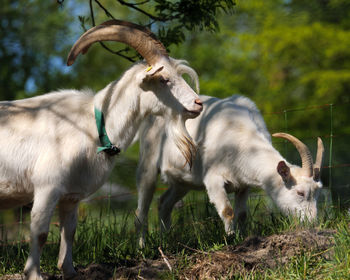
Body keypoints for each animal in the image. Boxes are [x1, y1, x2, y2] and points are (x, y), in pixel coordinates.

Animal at [0, 20, 202, 280]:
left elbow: (70, 232)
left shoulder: (71, 195)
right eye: (164, 79)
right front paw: (34, 274)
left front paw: (69, 271)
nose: (198, 104)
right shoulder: (47, 187)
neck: (91, 125)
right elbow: (41, 232)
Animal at [135, 95, 324, 246]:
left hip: (182, 182)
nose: (312, 223)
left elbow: (241, 214)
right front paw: (231, 238)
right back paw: (143, 246)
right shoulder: (213, 180)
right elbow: (227, 211)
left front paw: (243, 238)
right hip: (148, 160)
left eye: (317, 192)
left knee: (164, 203)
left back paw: (166, 240)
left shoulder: (244, 184)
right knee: (142, 209)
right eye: (300, 192)